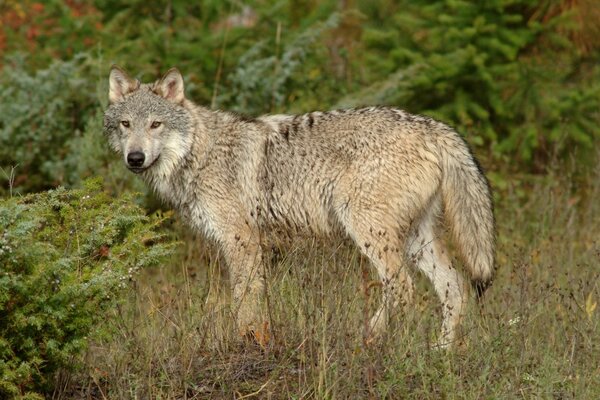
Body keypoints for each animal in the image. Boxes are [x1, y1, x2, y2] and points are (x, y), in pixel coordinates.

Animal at [104, 65, 496, 346]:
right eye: (126, 124)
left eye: (156, 124)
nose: (135, 158)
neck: (199, 153)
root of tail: (434, 126)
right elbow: (252, 302)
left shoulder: (242, 241)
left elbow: (243, 303)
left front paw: (244, 344)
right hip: (416, 241)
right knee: (455, 288)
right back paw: (440, 355)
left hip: (369, 231)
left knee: (403, 288)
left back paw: (371, 338)